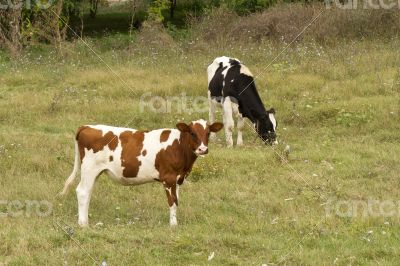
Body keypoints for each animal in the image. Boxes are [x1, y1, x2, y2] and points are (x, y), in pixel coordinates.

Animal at [60, 120, 223, 227]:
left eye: (208, 133)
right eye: (192, 132)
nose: (203, 149)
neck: (178, 146)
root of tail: (87, 126)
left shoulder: (178, 179)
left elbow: (177, 201)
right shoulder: (169, 178)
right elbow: (172, 202)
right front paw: (173, 225)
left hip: (95, 171)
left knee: (87, 192)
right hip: (89, 168)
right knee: (82, 191)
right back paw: (83, 224)